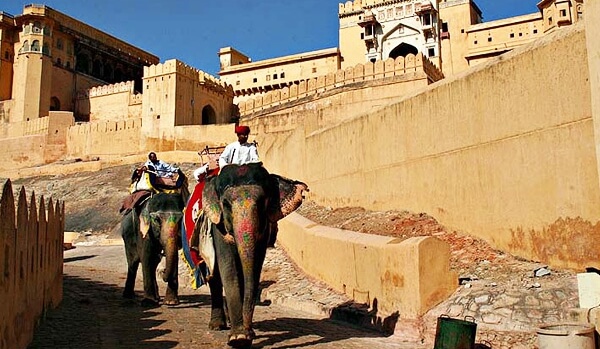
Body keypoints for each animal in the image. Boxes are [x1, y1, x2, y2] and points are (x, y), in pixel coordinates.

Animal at [203, 162, 310, 346]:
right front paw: (238, 338)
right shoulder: (219, 226)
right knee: (215, 277)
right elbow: (228, 269)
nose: (248, 333)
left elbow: (254, 268)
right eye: (226, 204)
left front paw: (245, 335)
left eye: (262, 203)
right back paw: (217, 325)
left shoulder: (264, 229)